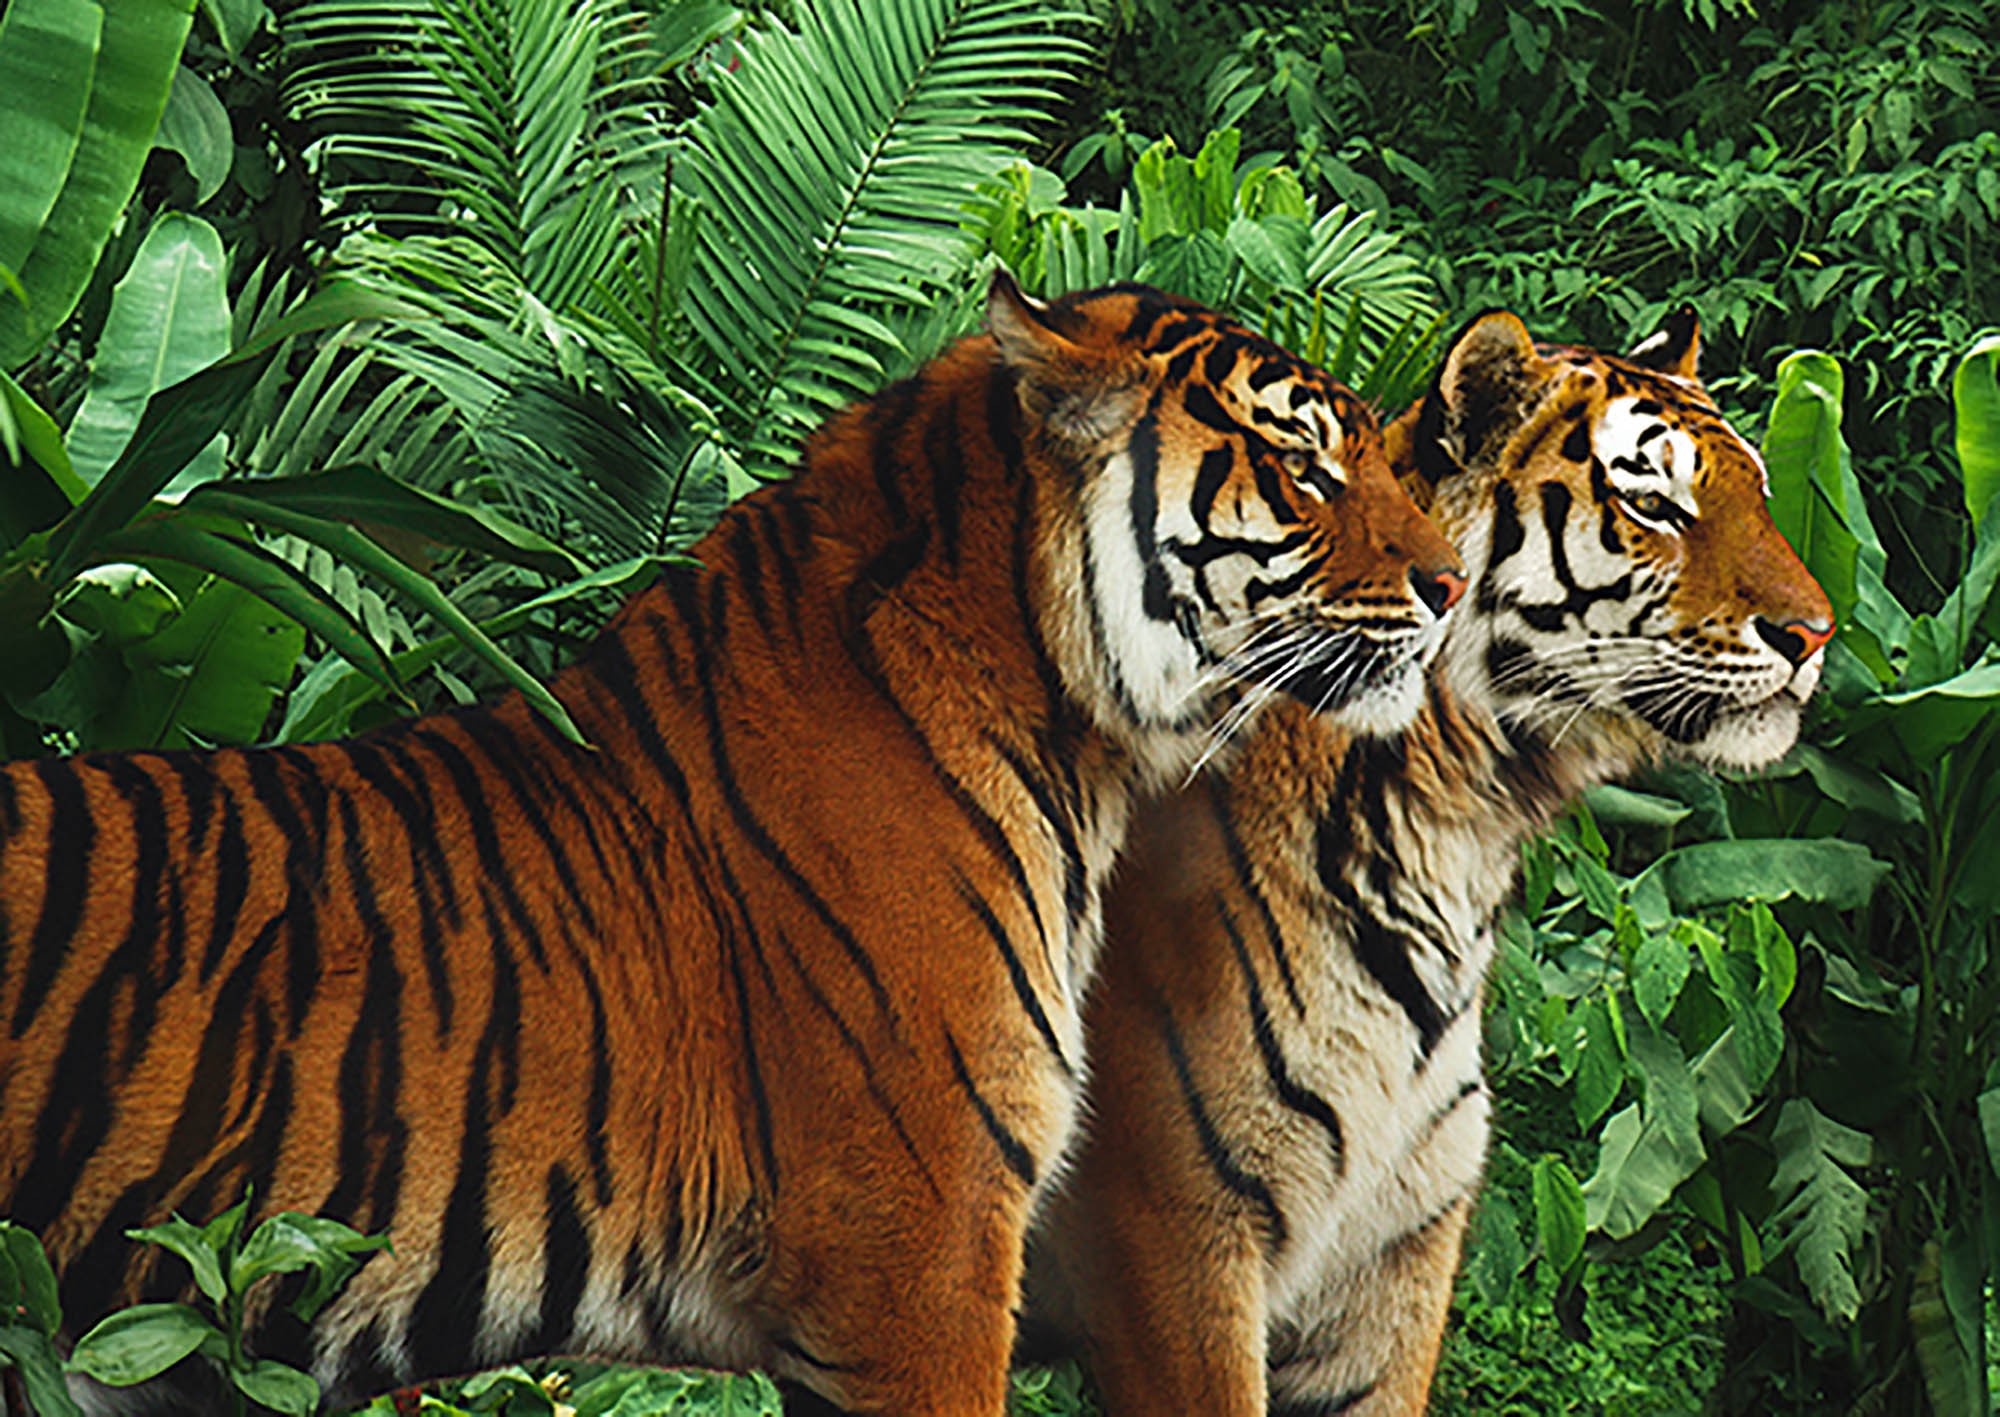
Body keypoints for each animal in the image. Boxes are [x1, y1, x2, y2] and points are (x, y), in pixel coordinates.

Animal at [1022, 306, 1834, 1415]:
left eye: (1759, 493)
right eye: (1652, 502)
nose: (1817, 634)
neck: (1455, 828)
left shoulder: (1394, 1248)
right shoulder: (1177, 1238)